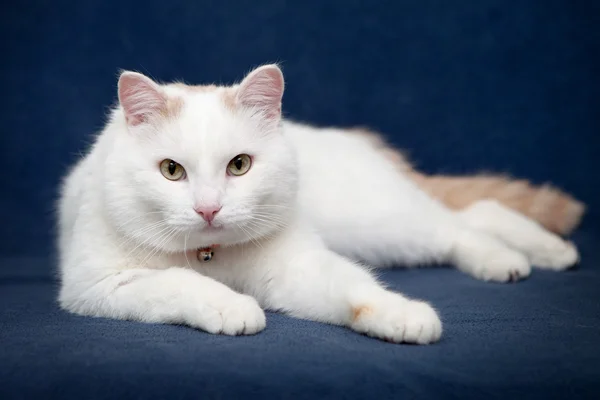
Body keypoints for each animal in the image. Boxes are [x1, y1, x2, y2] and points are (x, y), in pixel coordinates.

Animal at [58, 63, 584, 344]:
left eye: (239, 165)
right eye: (171, 171)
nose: (208, 209)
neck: (213, 255)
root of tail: (358, 141)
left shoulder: (299, 265)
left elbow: (357, 290)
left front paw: (401, 316)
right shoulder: (99, 283)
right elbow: (179, 282)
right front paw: (232, 307)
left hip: (382, 222)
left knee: (466, 218)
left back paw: (535, 254)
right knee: (470, 217)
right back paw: (523, 257)